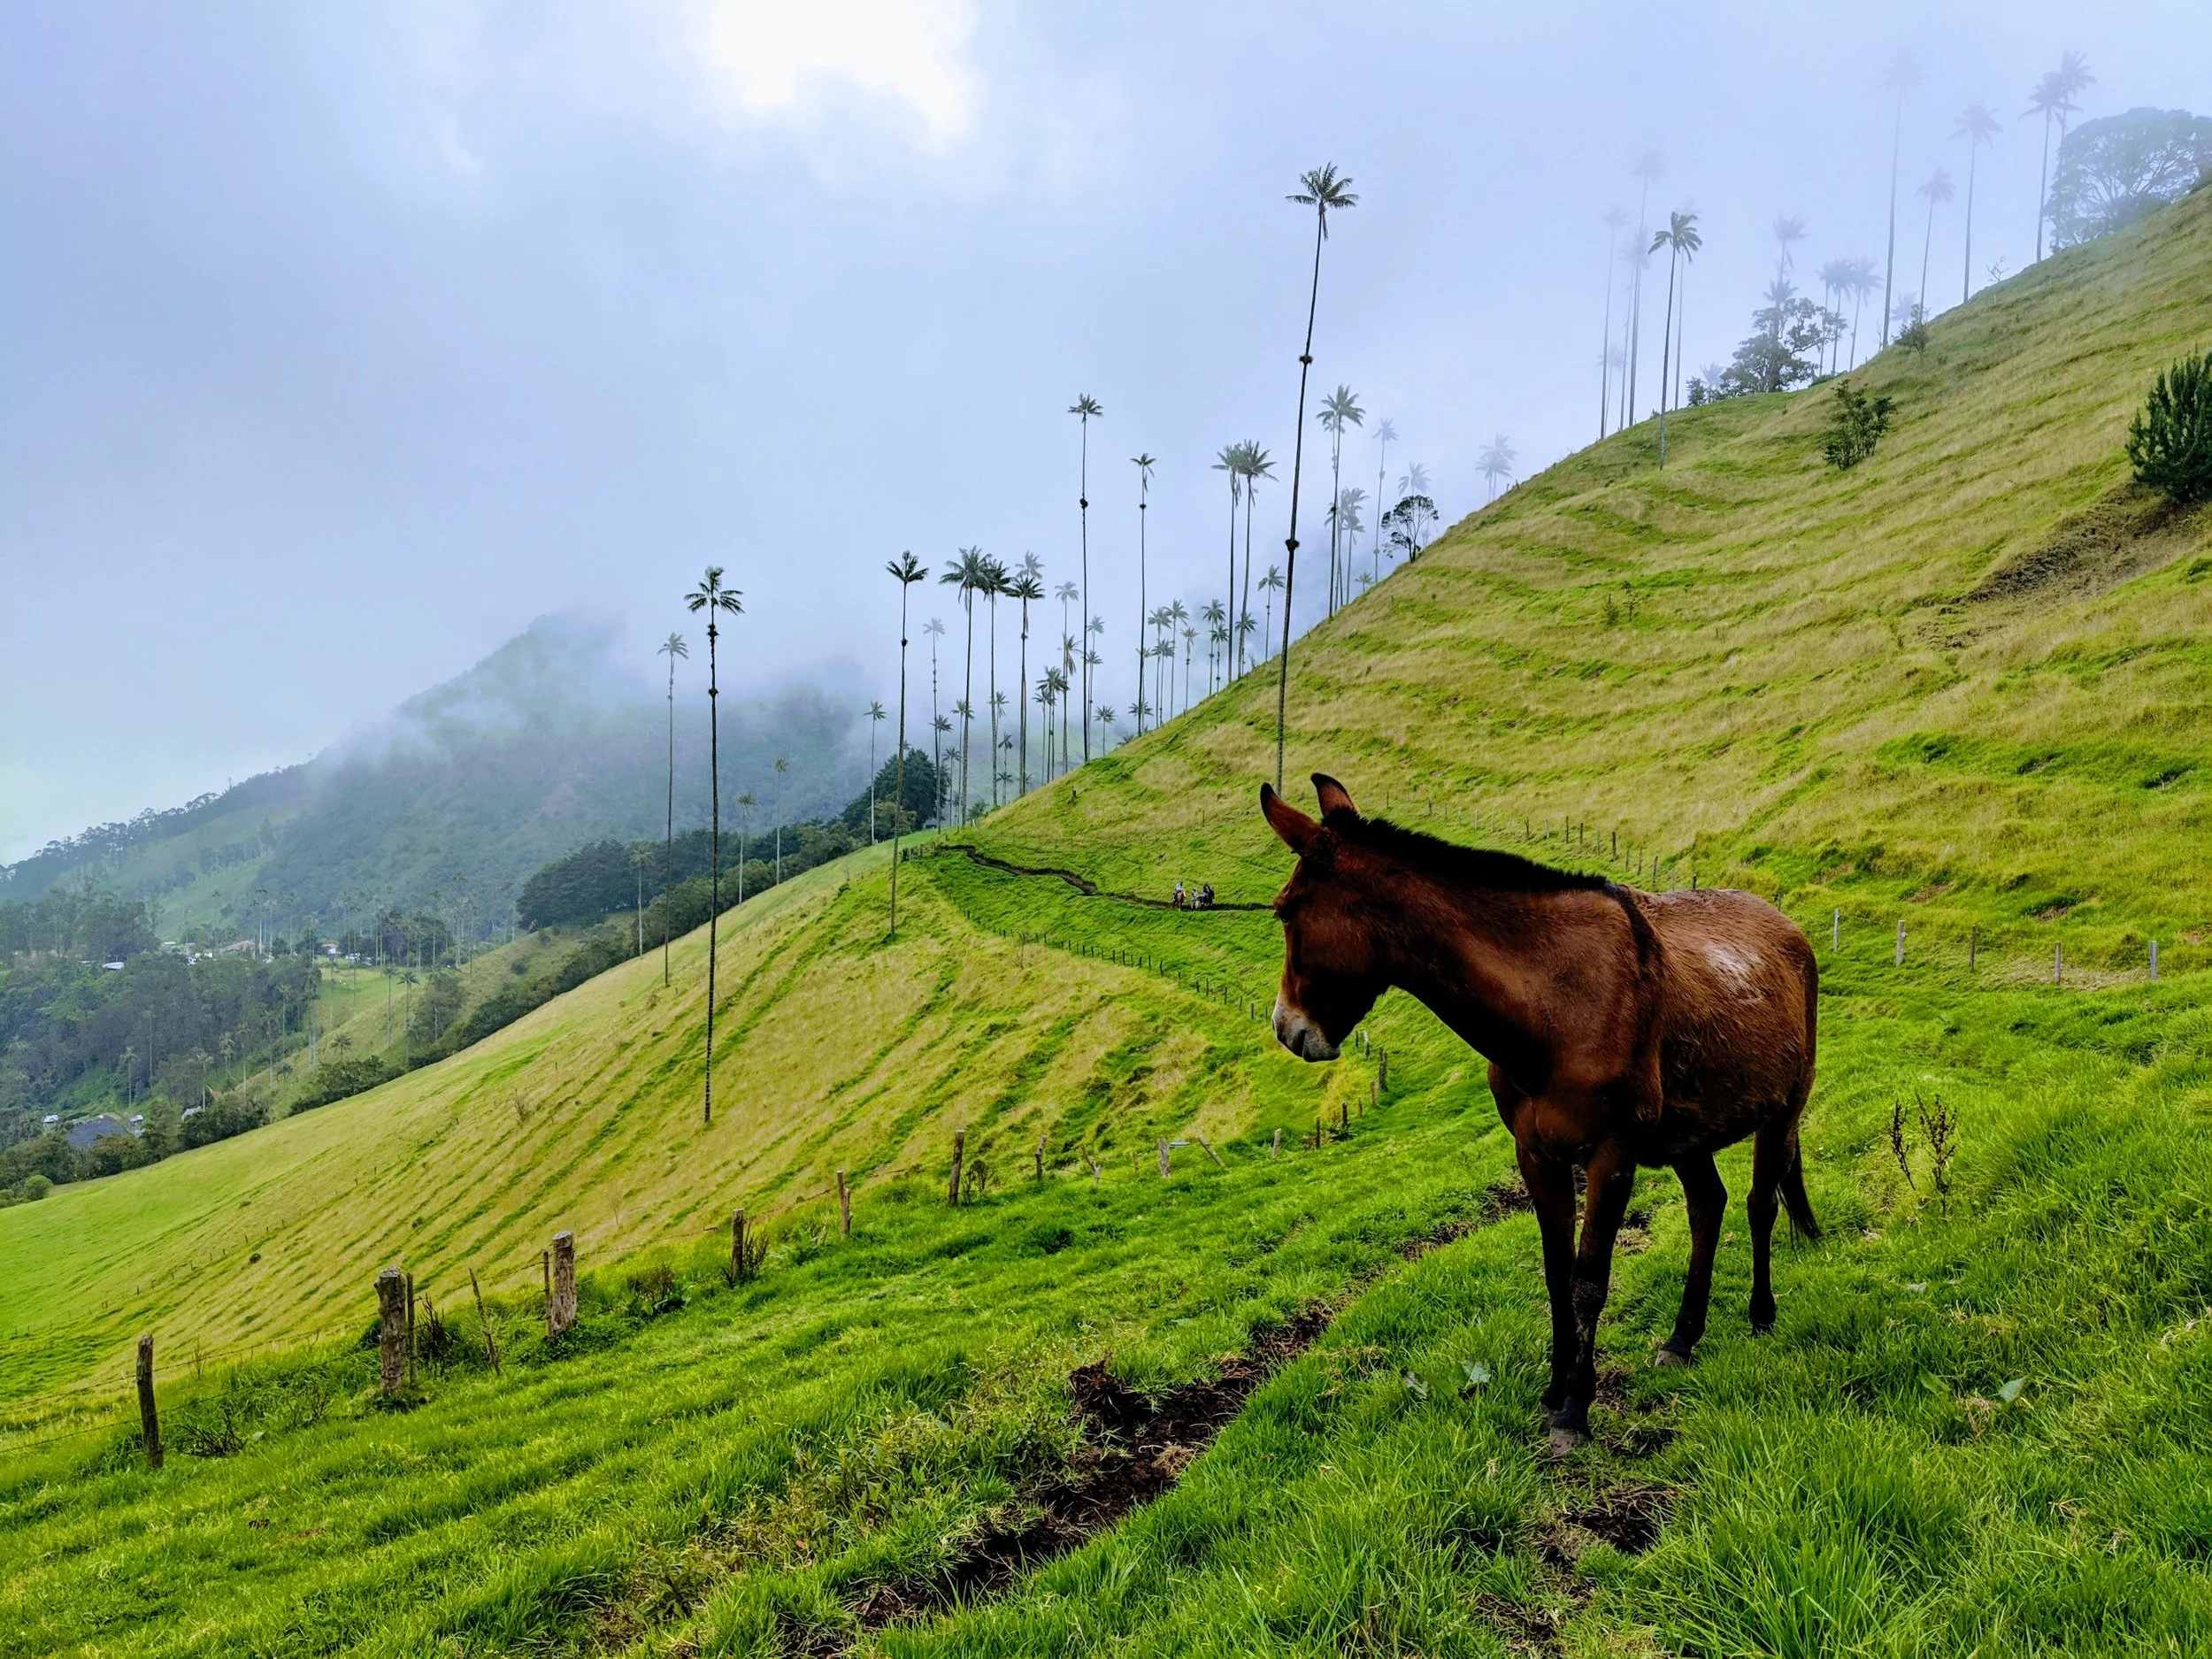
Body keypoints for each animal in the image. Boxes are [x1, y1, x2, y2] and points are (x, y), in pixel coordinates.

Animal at [1261, 775, 1819, 1449]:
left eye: (1286, 910)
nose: (1287, 1029)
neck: (1556, 1000)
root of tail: (1786, 925)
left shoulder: (1612, 1155)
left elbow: (1589, 1279)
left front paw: (1576, 1409)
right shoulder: (1536, 1153)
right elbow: (1556, 1272)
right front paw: (1554, 1390)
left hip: (1783, 1109)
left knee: (1761, 1205)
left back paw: (1762, 1314)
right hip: (1687, 1134)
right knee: (1708, 1207)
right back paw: (1683, 1337)